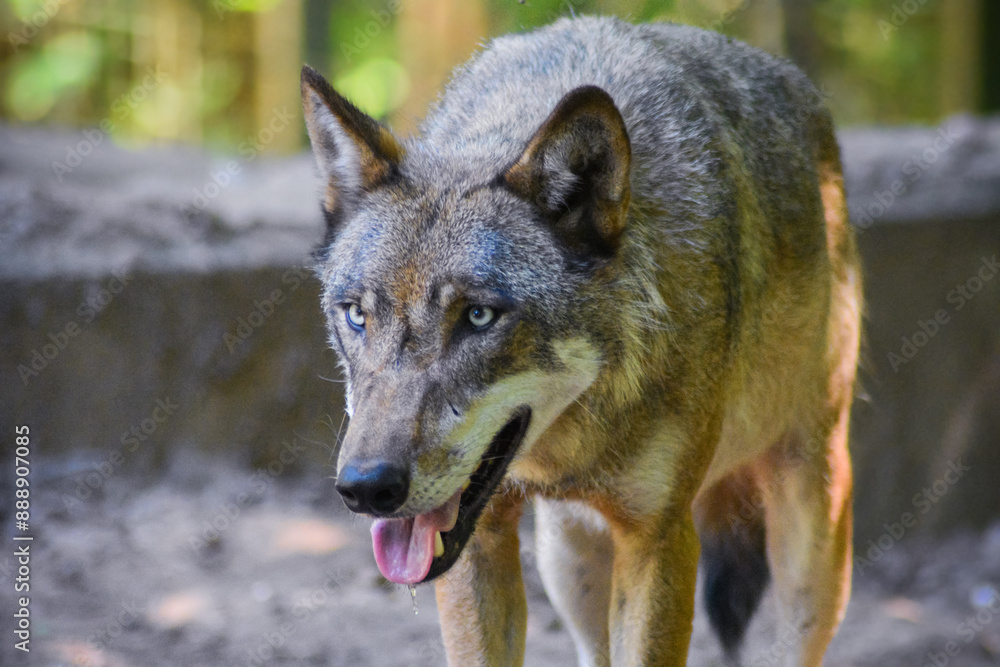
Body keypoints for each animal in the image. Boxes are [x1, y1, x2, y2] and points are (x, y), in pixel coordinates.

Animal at [300, 15, 861, 667]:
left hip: (812, 537)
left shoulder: (659, 538)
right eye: (357, 315)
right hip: (567, 559)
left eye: (479, 317)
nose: (366, 488)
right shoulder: (479, 541)